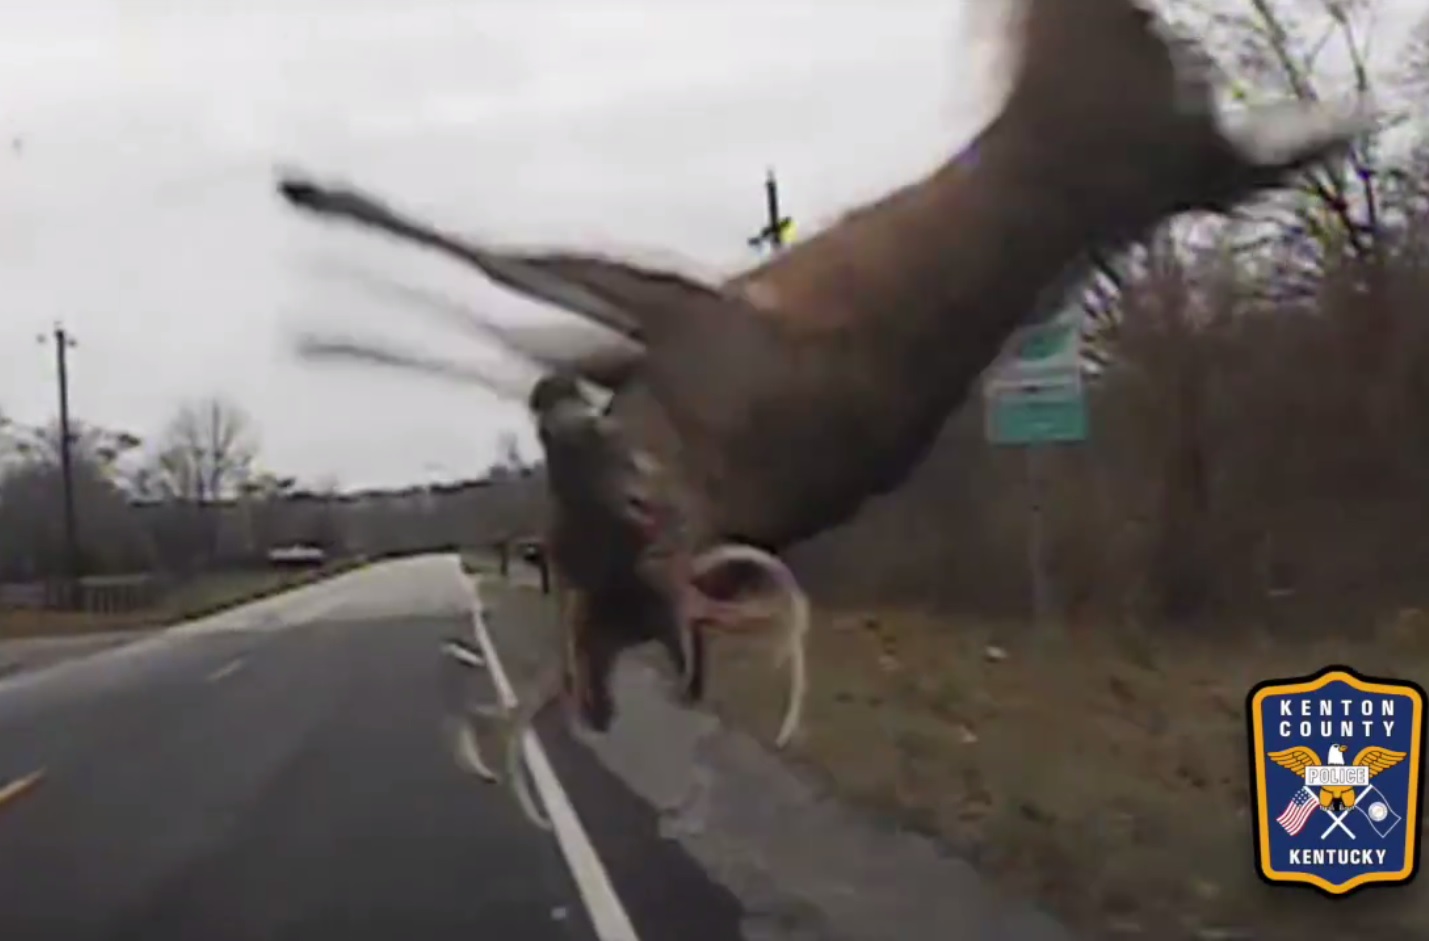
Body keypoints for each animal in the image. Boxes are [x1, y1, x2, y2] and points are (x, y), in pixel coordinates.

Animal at [277, 0, 1376, 830]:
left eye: (631, 506)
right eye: (558, 538)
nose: (558, 419)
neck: (694, 446)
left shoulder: (675, 313)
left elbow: (494, 269)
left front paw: (320, 217)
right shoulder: (629, 349)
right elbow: (502, 325)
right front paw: (328, 326)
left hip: (1106, 90)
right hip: (1176, 155)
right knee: (1229, 140)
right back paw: (1332, 117)